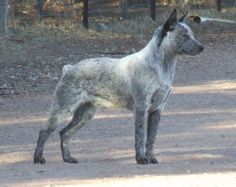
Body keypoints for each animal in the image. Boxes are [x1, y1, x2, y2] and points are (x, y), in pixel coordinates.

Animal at [34, 8, 204, 164]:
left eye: (192, 33)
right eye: (184, 35)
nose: (202, 47)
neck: (160, 65)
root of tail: (68, 69)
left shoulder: (156, 110)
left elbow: (151, 139)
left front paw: (151, 158)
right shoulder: (141, 108)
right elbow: (140, 137)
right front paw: (141, 159)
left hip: (85, 114)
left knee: (64, 133)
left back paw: (67, 158)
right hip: (63, 109)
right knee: (44, 131)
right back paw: (38, 158)